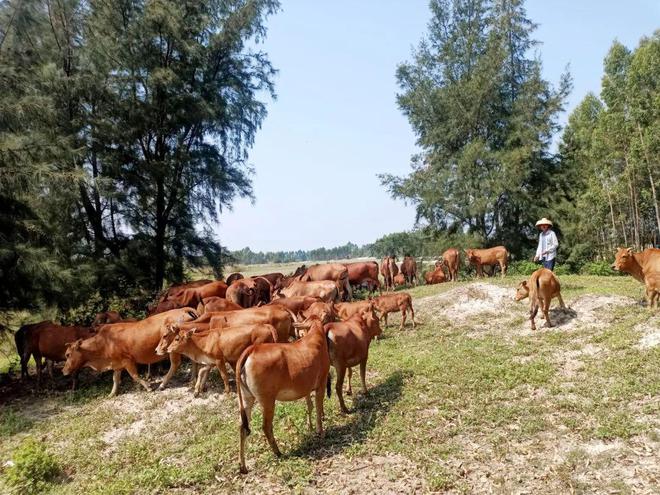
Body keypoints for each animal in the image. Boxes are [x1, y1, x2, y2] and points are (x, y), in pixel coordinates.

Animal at [62, 308, 197, 398]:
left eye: (68, 354)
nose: (63, 371)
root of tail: (183, 309)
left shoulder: (128, 360)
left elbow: (135, 376)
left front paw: (148, 386)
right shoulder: (117, 364)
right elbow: (115, 379)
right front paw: (112, 393)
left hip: (173, 350)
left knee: (175, 365)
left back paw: (163, 384)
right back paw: (190, 378)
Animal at [236, 316, 330, 474]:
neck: (316, 333)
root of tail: (252, 349)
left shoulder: (306, 387)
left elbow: (310, 406)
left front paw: (310, 427)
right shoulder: (321, 382)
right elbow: (318, 406)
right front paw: (320, 431)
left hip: (246, 398)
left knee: (243, 427)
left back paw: (243, 466)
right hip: (267, 400)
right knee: (266, 427)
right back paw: (278, 452)